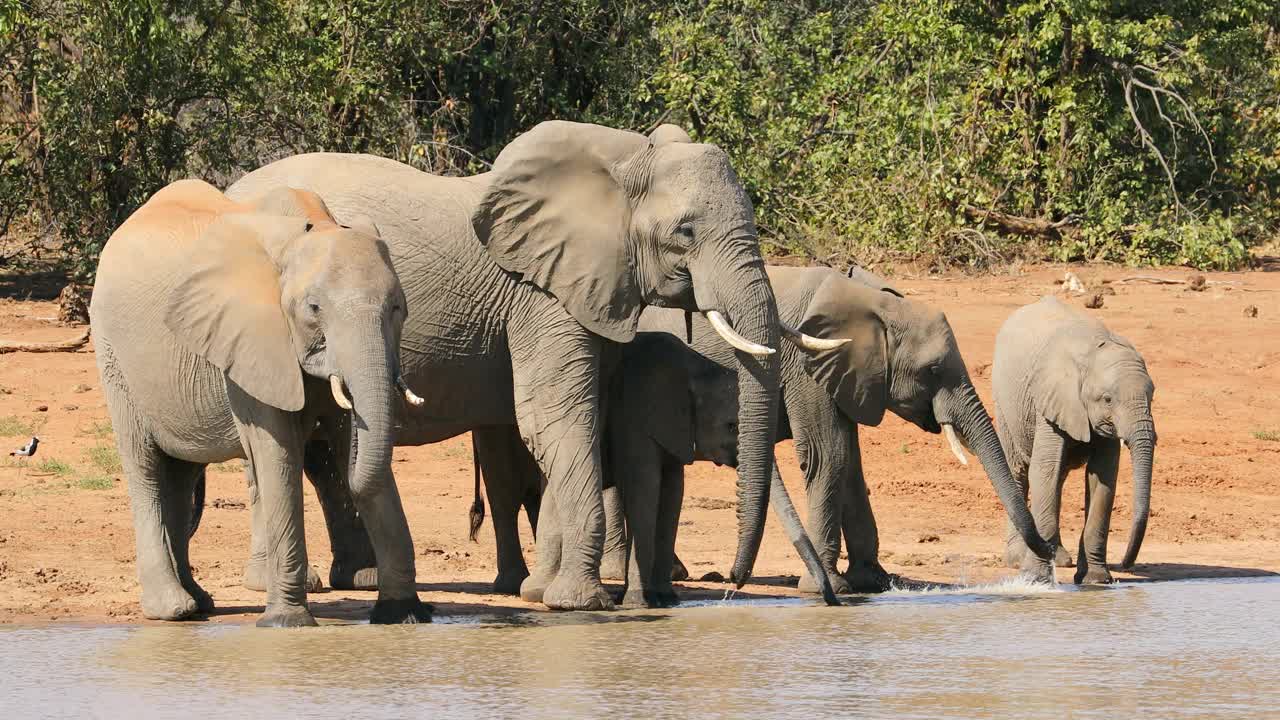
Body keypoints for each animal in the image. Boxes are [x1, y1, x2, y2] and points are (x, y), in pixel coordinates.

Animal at [92, 178, 430, 622]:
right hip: (114, 359)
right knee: (146, 469)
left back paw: (198, 604)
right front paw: (286, 622)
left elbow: (348, 438)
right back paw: (172, 609)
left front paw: (403, 615)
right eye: (314, 308)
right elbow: (276, 448)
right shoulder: (250, 337)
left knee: (181, 475)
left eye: (397, 308)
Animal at [230, 120, 788, 607]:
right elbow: (555, 418)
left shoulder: (592, 289)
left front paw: (543, 594)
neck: (623, 161)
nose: (730, 585)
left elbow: (568, 422)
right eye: (686, 232)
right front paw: (578, 603)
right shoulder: (540, 294)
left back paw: (362, 578)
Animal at [604, 263, 1054, 589]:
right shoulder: (805, 367)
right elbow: (829, 455)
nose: (1048, 557)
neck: (874, 305)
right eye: (932, 371)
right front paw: (829, 587)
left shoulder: (849, 376)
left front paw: (874, 582)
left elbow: (851, 464)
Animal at [988, 294, 1162, 579]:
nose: (1126, 564)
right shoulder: (1052, 398)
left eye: (1152, 396)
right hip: (1004, 403)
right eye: (1108, 399)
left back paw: (1059, 559)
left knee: (1057, 478)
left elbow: (1103, 477)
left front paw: (1096, 580)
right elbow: (1044, 469)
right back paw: (1017, 560)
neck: (1094, 352)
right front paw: (1037, 578)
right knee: (1020, 472)